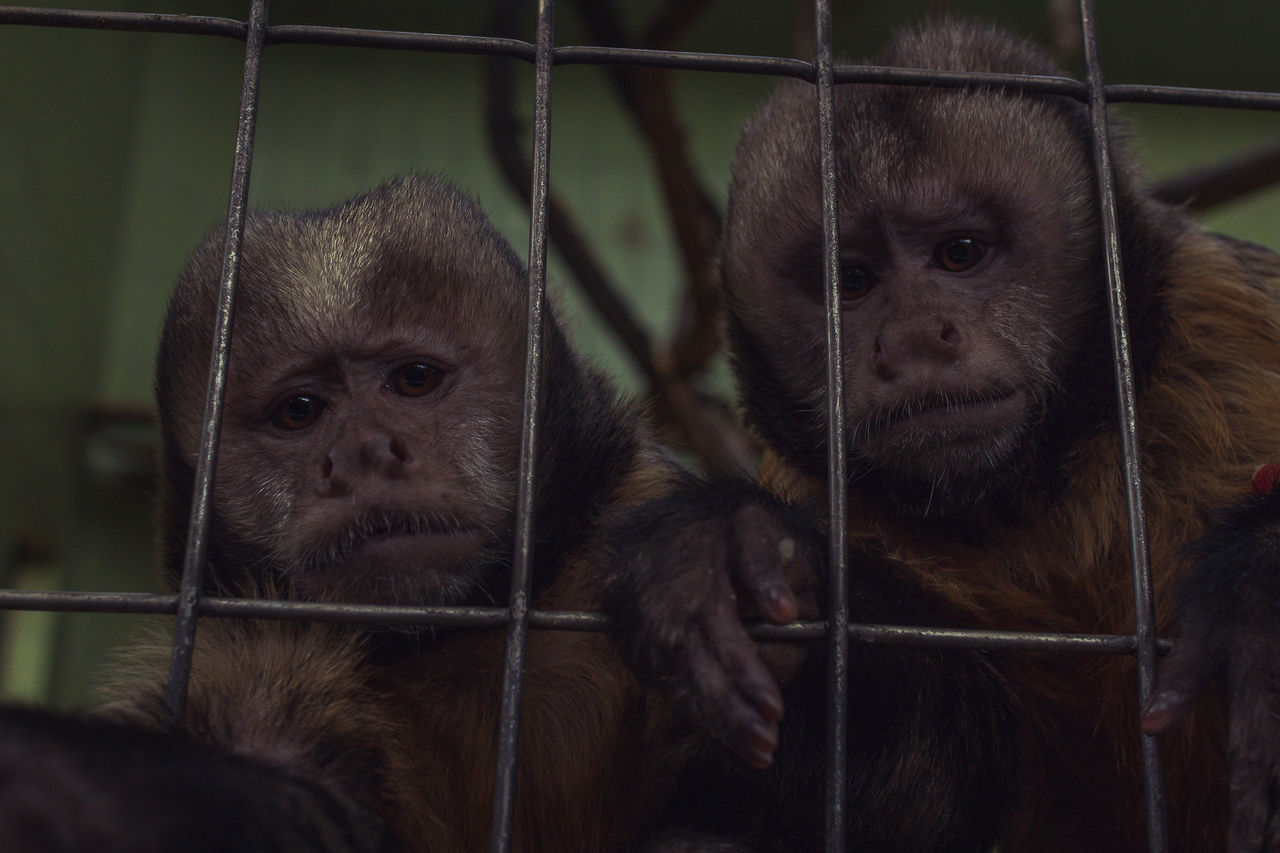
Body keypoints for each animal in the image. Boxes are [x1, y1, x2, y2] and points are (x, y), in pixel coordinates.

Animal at [0, 174, 701, 850]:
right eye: (299, 411)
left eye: (415, 378)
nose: (362, 453)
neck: (450, 639)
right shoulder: (249, 660)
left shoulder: (637, 507)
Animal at [604, 18, 1280, 850]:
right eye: (852, 281)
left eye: (960, 252)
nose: (917, 337)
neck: (1037, 492)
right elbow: (936, 787)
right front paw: (746, 558)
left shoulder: (1231, 319)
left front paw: (1263, 588)